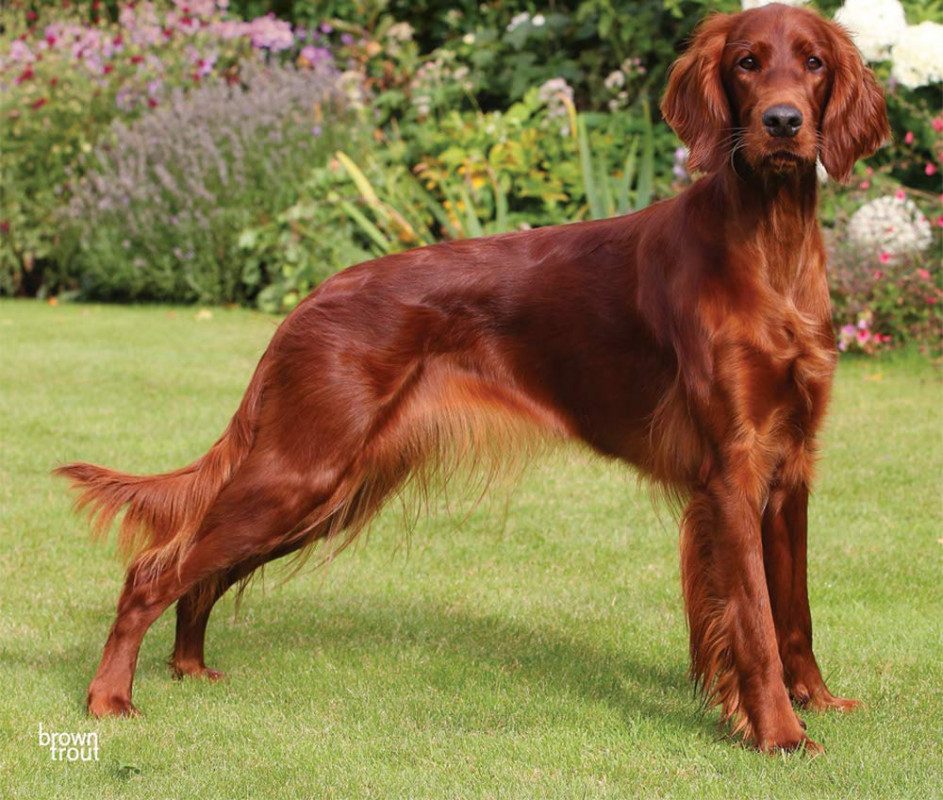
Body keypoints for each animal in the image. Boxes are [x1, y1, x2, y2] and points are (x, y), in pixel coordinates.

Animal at [57, 1, 884, 752]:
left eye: (812, 62)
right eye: (746, 62)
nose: (782, 122)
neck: (768, 246)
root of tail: (309, 299)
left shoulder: (789, 465)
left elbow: (794, 610)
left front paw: (814, 699)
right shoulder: (731, 469)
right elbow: (753, 618)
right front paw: (778, 733)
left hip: (325, 485)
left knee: (197, 570)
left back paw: (190, 667)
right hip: (304, 470)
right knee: (152, 570)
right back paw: (109, 697)